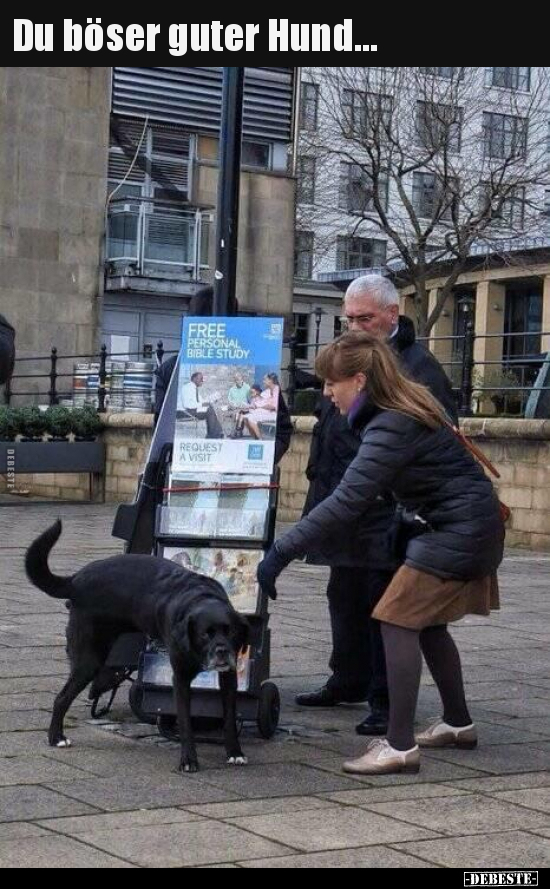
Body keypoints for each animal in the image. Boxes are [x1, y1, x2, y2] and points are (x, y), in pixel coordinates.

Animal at [25, 520, 250, 772]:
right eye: (205, 635)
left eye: (230, 632)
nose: (222, 652)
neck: (201, 598)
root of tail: (76, 580)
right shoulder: (180, 678)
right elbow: (185, 723)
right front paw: (188, 760)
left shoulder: (229, 677)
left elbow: (230, 718)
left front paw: (235, 752)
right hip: (88, 659)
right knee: (61, 698)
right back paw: (56, 737)